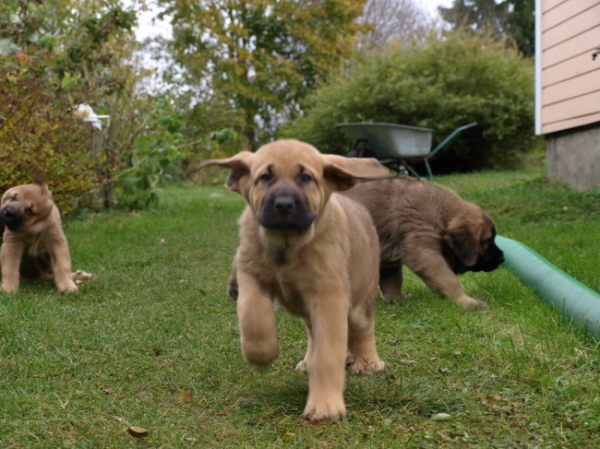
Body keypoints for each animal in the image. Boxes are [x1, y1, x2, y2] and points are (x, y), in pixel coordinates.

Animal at [202, 139, 390, 420]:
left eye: (306, 177)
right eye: (265, 177)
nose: (283, 205)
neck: (286, 247)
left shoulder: (329, 296)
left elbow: (328, 355)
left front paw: (325, 404)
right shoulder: (251, 275)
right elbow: (252, 315)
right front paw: (261, 353)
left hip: (360, 302)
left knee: (362, 330)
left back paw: (368, 362)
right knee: (312, 333)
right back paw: (308, 360)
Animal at [340, 177, 504, 310]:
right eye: (487, 241)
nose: (502, 258)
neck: (438, 213)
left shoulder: (390, 257)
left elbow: (393, 282)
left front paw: (397, 299)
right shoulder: (424, 251)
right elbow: (448, 279)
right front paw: (465, 301)